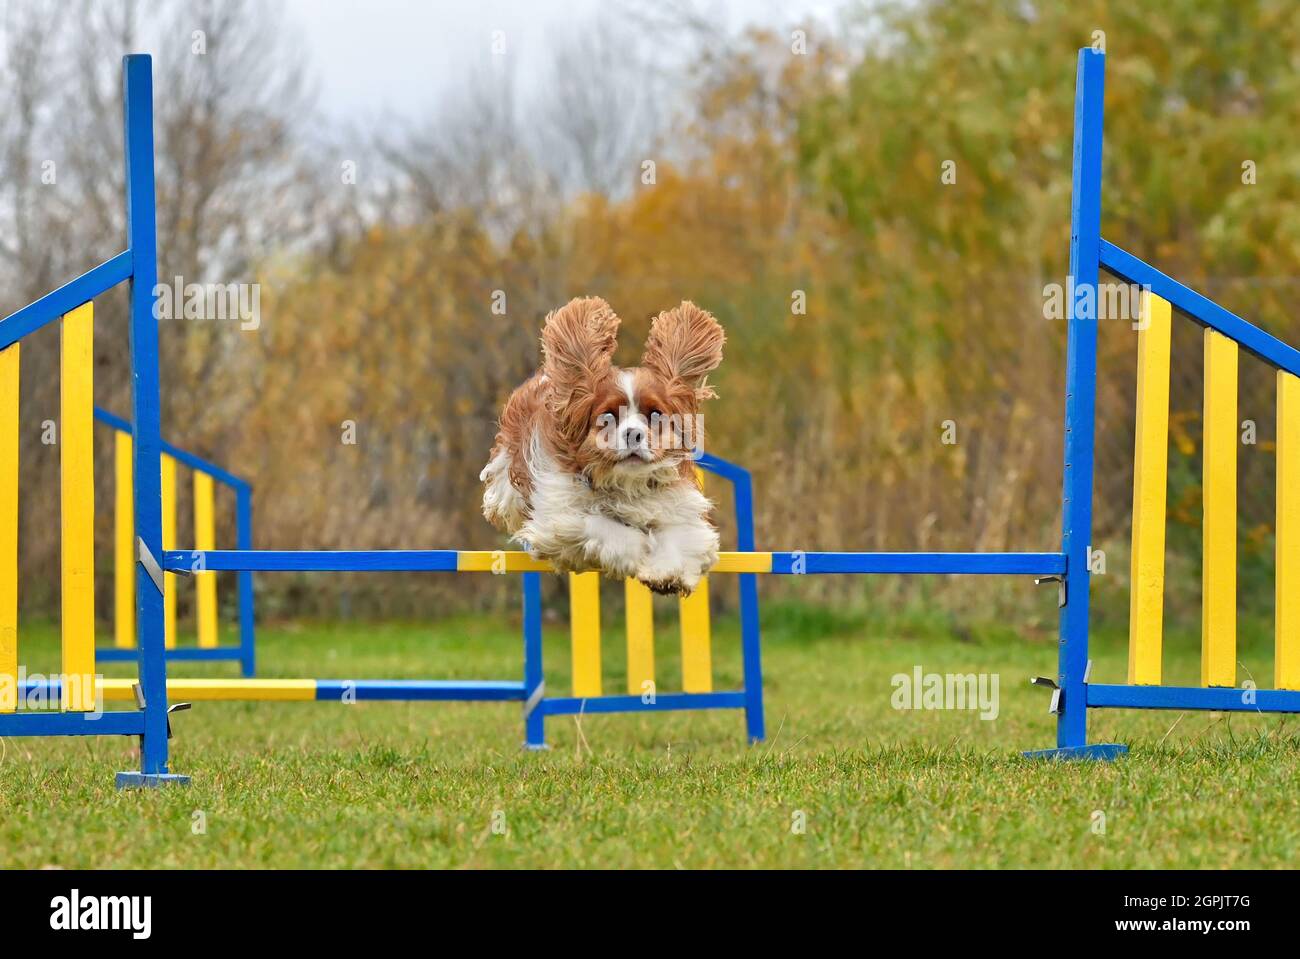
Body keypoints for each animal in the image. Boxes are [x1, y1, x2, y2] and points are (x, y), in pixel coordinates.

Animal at [480, 294, 728, 595]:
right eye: (608, 416)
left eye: (655, 415)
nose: (633, 434)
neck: (624, 483)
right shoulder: (559, 514)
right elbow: (602, 526)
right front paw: (635, 550)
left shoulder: (677, 505)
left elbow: (680, 535)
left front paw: (666, 573)